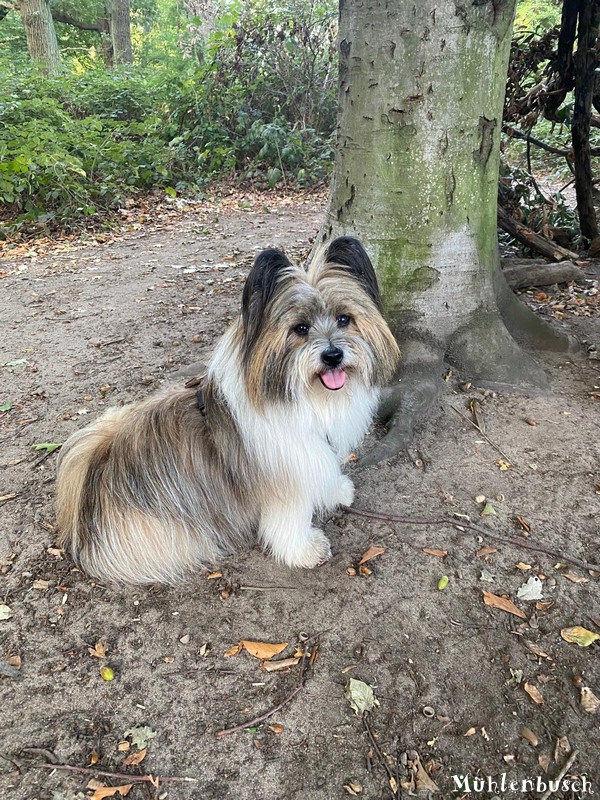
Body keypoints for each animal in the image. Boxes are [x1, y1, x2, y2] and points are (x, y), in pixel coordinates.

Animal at [56, 234, 398, 584]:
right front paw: (304, 550)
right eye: (300, 328)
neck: (311, 399)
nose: (333, 355)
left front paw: (337, 489)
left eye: (344, 319)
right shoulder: (286, 473)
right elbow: (292, 518)